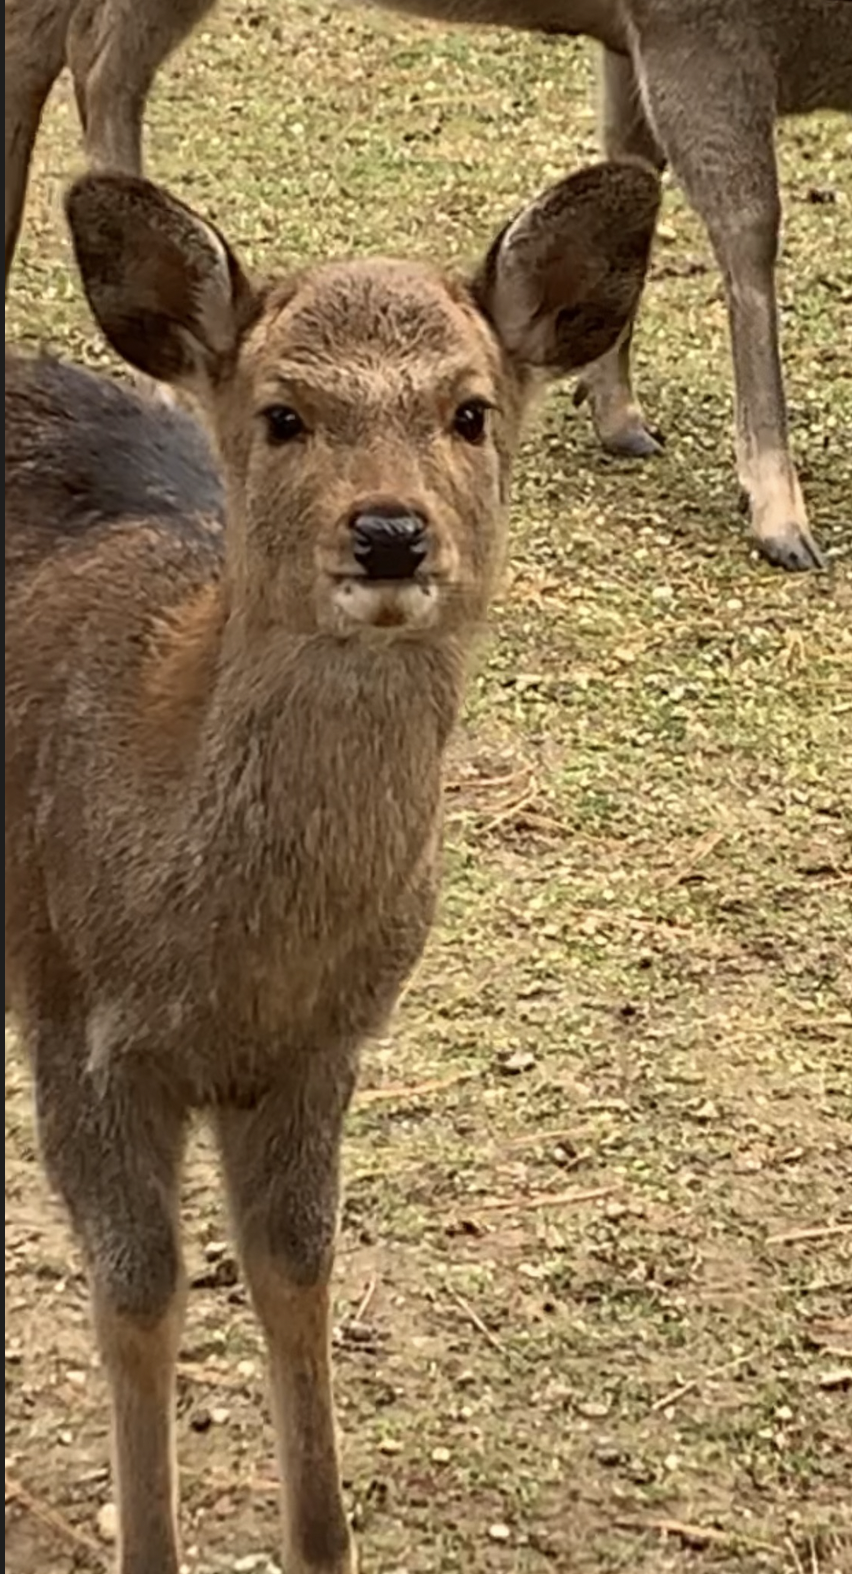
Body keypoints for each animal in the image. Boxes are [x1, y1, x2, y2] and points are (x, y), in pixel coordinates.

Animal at [4, 158, 659, 1574]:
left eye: (470, 409)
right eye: (282, 412)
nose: (390, 532)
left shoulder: (326, 1046)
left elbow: (295, 1268)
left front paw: (322, 1536)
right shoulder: (75, 1018)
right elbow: (139, 1291)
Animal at [5, 1, 850, 573]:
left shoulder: (630, 40)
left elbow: (631, 166)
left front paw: (617, 411)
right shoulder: (696, 27)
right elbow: (749, 233)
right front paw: (780, 518)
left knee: (85, 55)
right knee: (78, 54)